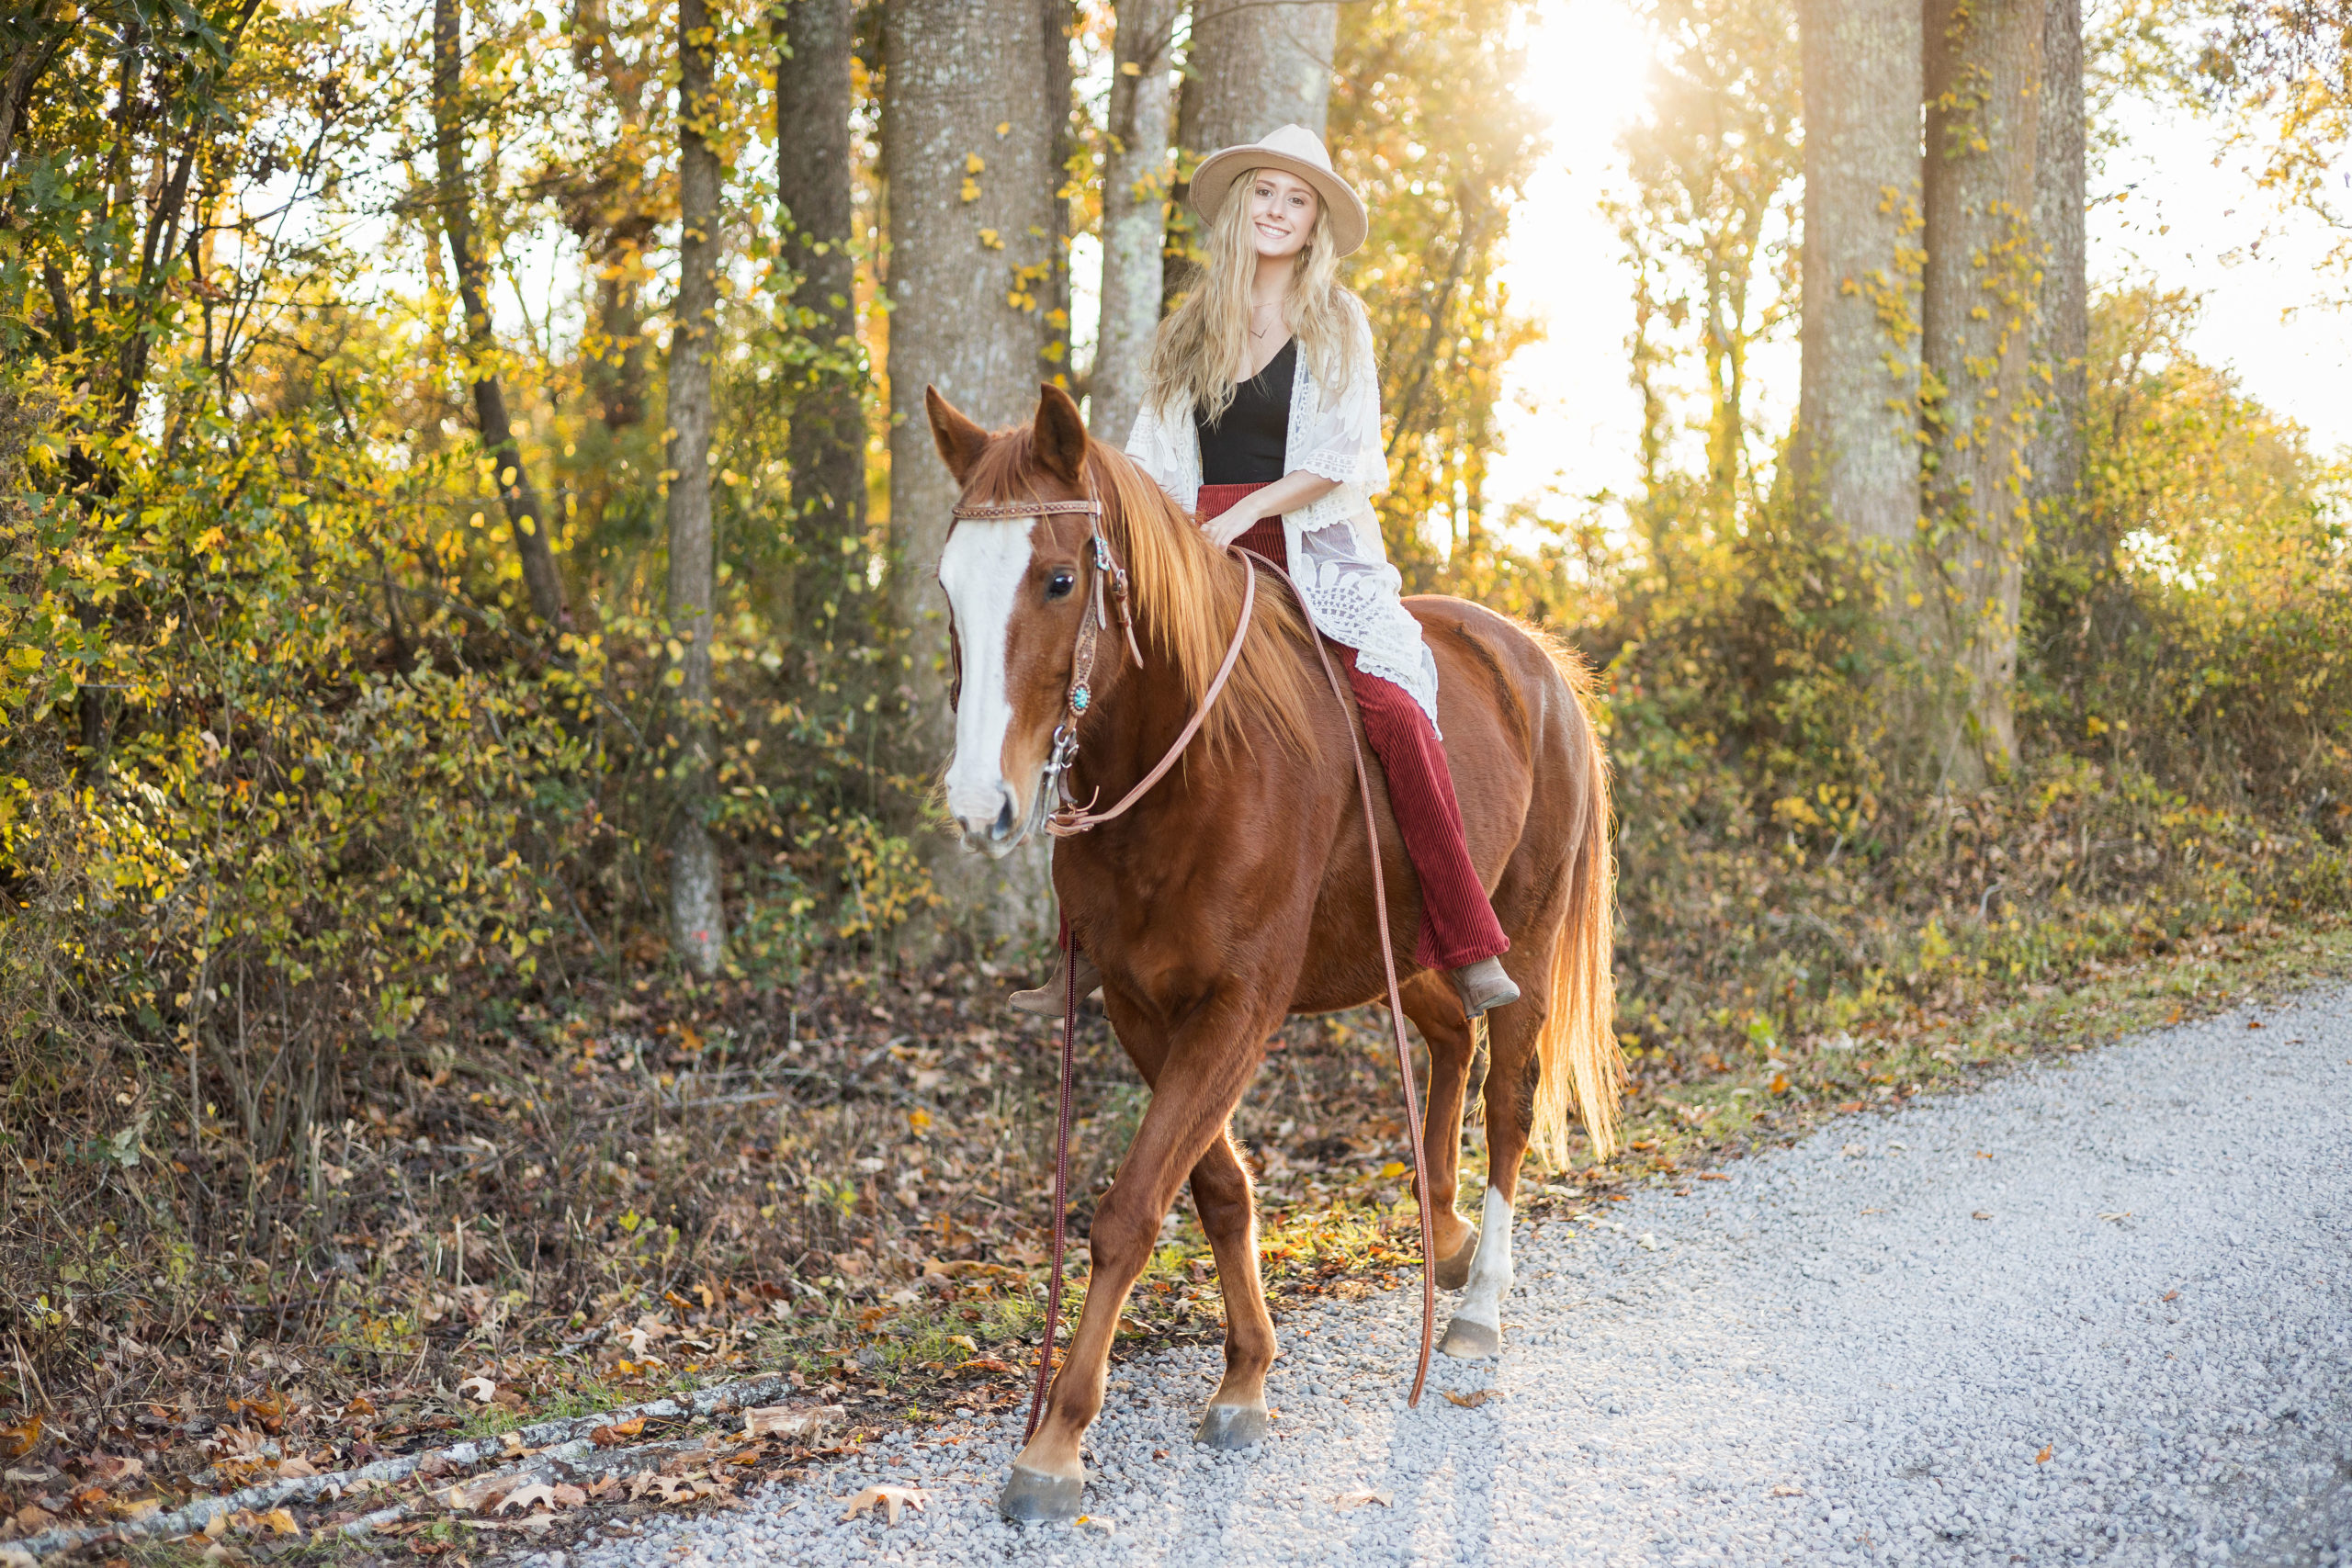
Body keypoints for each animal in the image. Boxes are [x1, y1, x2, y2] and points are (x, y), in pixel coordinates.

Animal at [926, 380, 1627, 1523]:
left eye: (1060, 579)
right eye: (951, 587)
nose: (979, 802)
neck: (1189, 769)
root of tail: (1535, 660)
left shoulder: (1237, 1008)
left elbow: (1130, 1209)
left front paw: (1056, 1443)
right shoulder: (1140, 1006)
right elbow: (1214, 1189)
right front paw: (1246, 1373)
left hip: (1520, 931)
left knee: (1510, 1097)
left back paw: (1477, 1303)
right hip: (1405, 951)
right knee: (1449, 1041)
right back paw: (1442, 1238)